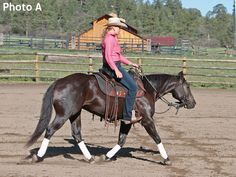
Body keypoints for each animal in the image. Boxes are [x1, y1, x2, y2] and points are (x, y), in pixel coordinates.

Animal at [25, 69, 195, 165]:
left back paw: (90, 158)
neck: (147, 89)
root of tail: (59, 81)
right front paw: (166, 159)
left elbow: (121, 140)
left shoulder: (127, 121)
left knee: (77, 134)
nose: (193, 103)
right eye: (187, 86)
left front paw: (106, 156)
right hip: (64, 114)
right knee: (50, 130)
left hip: (75, 113)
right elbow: (157, 137)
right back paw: (38, 156)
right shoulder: (147, 120)